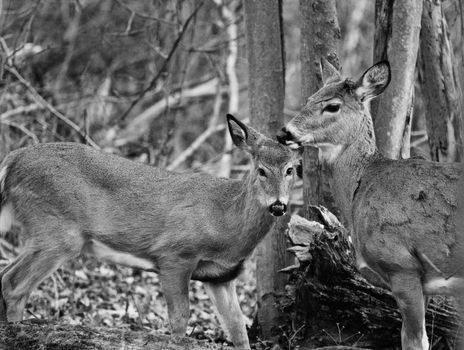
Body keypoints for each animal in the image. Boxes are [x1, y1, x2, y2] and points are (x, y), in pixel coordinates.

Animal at [0, 114, 300, 348]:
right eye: (261, 170)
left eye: (291, 169)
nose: (278, 205)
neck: (225, 220)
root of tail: (12, 159)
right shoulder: (175, 255)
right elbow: (179, 319)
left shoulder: (221, 276)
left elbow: (238, 329)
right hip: (57, 229)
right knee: (14, 284)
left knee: (6, 275)